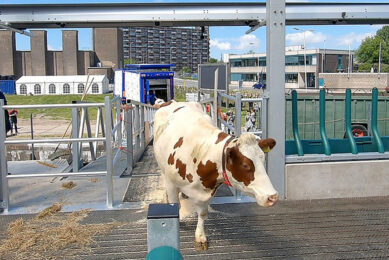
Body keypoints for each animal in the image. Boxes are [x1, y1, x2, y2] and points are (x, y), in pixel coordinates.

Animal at [153, 101, 278, 250]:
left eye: (263, 160)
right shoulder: (172, 185)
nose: (273, 196)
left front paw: (200, 237)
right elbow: (175, 207)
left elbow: (202, 213)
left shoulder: (208, 191)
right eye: (245, 165)